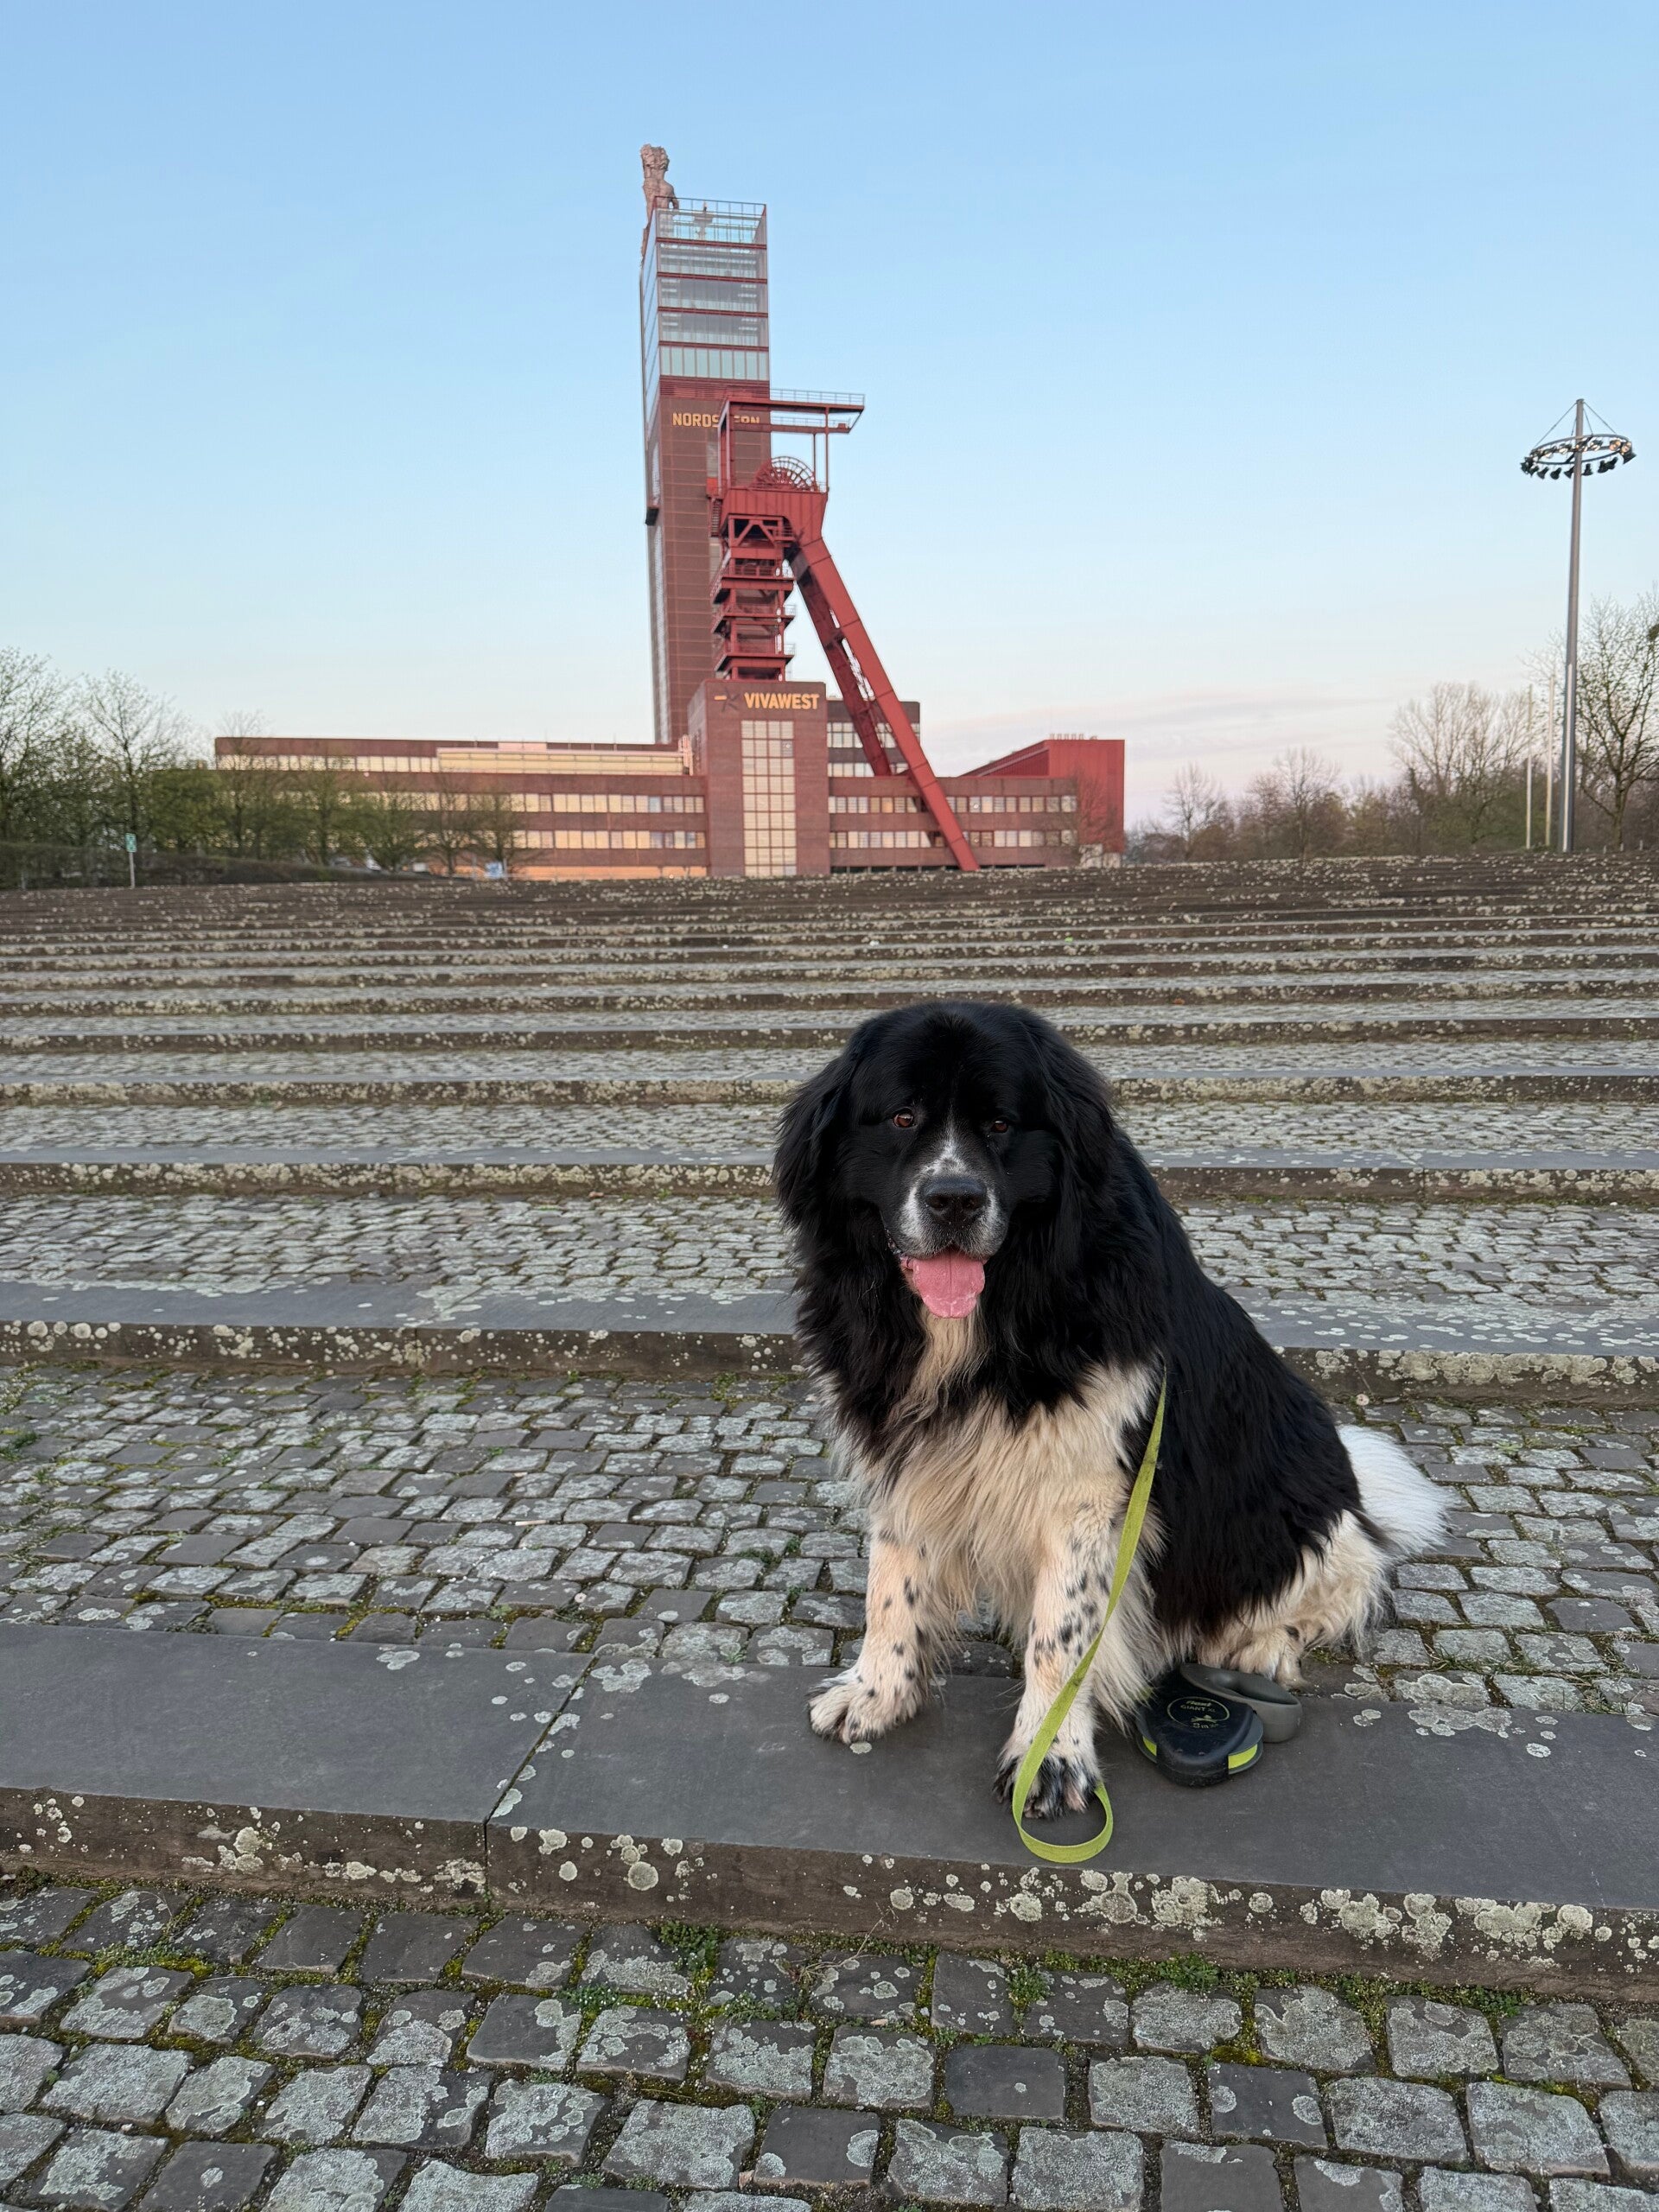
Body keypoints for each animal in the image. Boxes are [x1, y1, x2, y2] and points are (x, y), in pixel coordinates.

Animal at [775, 998, 1444, 1818]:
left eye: (1001, 1124)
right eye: (902, 1117)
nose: (954, 1198)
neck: (991, 1318)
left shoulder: (1091, 1486)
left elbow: (1062, 1633)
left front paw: (1050, 1755)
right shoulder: (903, 1449)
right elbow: (890, 1583)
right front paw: (877, 1692)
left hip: (1295, 1504)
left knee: (1336, 1585)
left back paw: (1258, 1645)